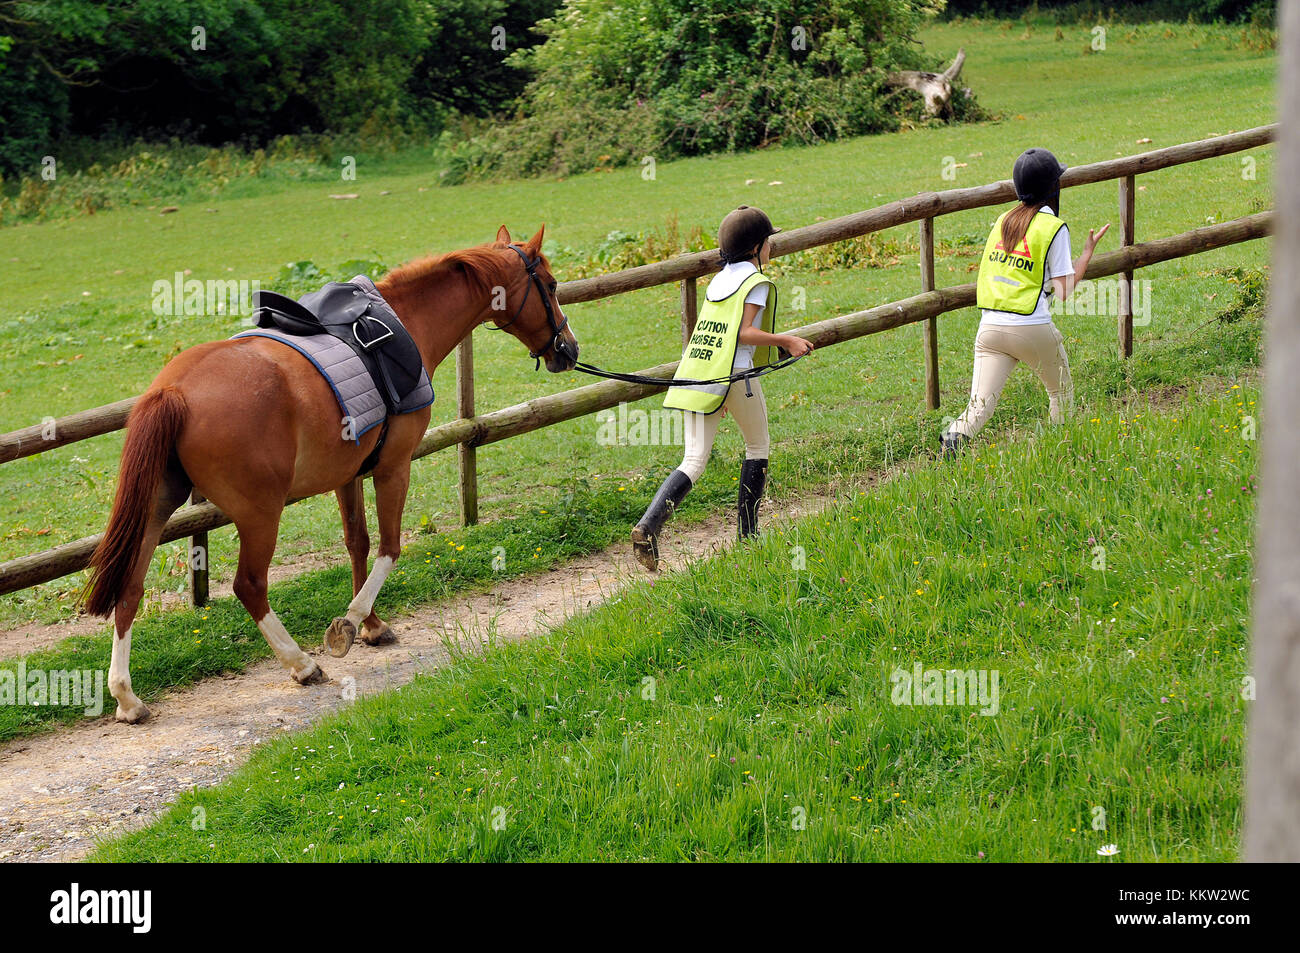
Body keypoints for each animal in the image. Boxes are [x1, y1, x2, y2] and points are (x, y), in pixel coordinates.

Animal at [82, 225, 577, 724]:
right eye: (551, 285)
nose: (568, 349)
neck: (408, 321)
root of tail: (173, 391)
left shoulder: (349, 474)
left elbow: (358, 543)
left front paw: (373, 626)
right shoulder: (393, 467)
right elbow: (390, 547)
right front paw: (351, 624)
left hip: (157, 507)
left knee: (130, 588)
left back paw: (126, 696)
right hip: (260, 514)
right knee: (249, 585)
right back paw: (301, 664)